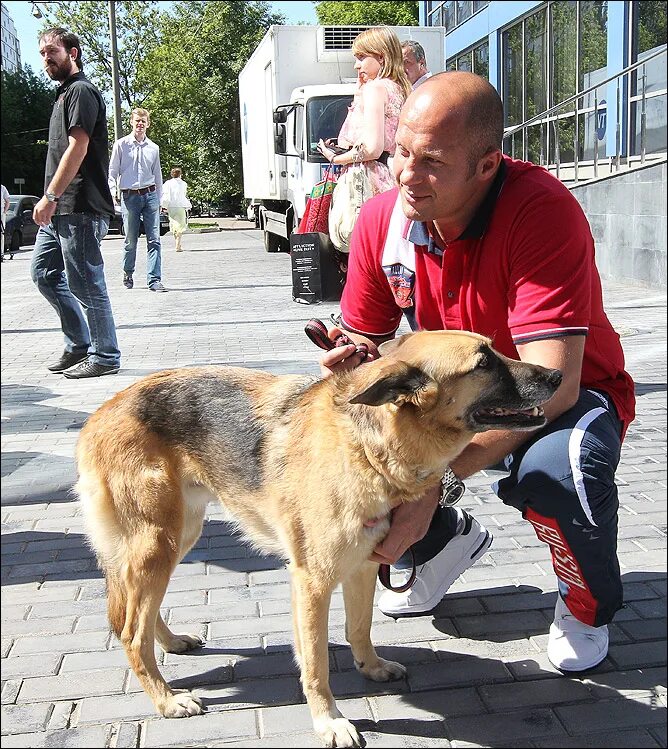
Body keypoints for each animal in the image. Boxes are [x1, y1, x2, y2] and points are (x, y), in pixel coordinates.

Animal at [75, 334, 560, 748]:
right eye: (483, 362)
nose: (557, 377)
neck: (368, 445)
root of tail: (103, 410)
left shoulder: (365, 565)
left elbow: (359, 628)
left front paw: (371, 667)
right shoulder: (313, 582)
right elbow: (315, 663)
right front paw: (329, 722)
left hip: (178, 536)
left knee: (140, 612)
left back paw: (171, 642)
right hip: (157, 541)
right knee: (130, 631)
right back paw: (166, 699)